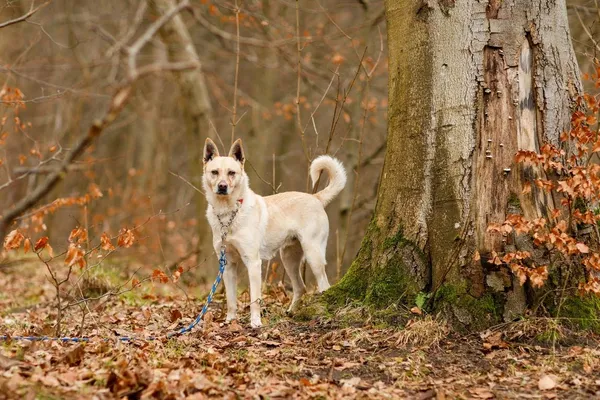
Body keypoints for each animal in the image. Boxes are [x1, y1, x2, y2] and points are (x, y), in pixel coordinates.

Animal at [203, 138, 346, 328]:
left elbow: (255, 299)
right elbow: (231, 300)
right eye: (215, 172)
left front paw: (255, 322)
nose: (222, 186)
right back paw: (290, 312)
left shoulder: (253, 263)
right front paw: (229, 321)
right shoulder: (227, 264)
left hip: (313, 255)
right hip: (289, 258)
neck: (228, 214)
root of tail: (315, 198)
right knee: (301, 287)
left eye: (231, 173)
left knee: (324, 285)